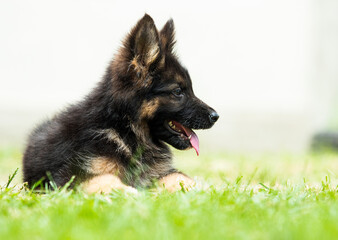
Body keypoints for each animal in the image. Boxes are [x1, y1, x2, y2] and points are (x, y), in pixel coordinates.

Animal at [23, 14, 219, 193]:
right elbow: (104, 180)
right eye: (178, 92)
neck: (124, 128)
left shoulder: (160, 173)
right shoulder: (70, 176)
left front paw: (210, 189)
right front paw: (128, 192)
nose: (215, 116)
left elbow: (181, 177)